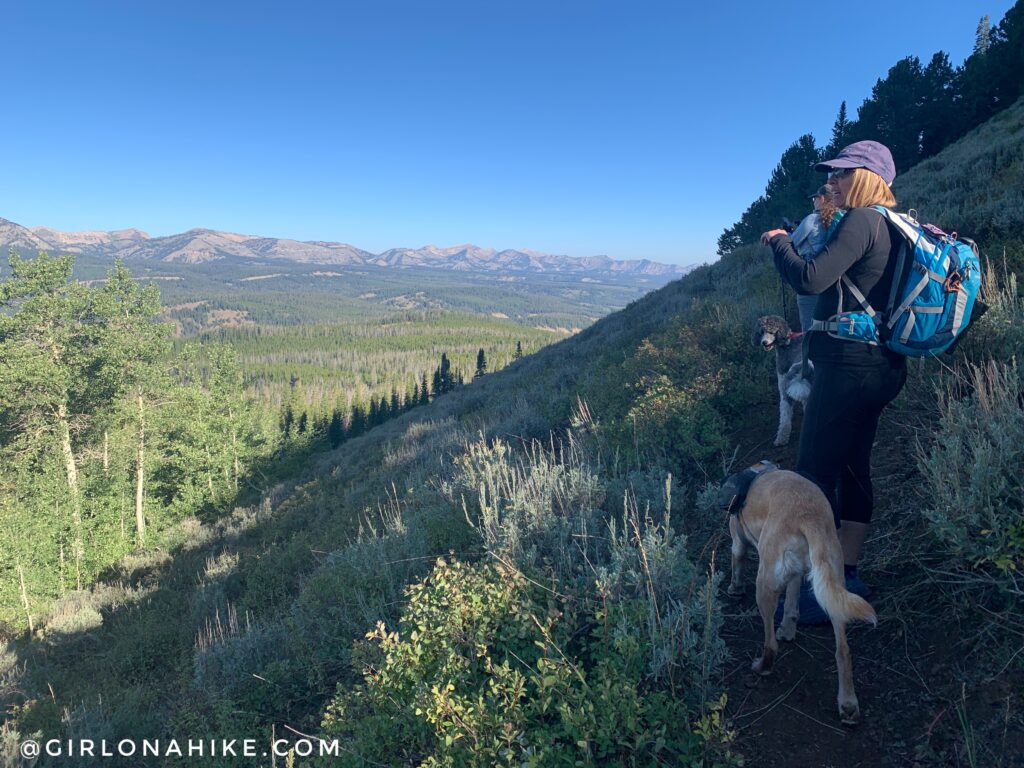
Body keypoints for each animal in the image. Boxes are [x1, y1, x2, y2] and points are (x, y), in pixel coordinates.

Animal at [724, 468, 876, 729]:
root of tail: (809, 517)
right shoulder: (796, 575)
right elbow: (792, 608)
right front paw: (788, 630)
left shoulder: (738, 542)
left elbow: (737, 561)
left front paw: (735, 588)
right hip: (834, 585)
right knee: (843, 651)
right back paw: (848, 705)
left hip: (765, 583)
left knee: (770, 644)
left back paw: (762, 667)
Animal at [749, 313, 811, 448]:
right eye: (761, 332)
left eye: (772, 331)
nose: (764, 343)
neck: (787, 342)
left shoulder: (783, 388)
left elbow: (784, 416)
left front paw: (781, 438)